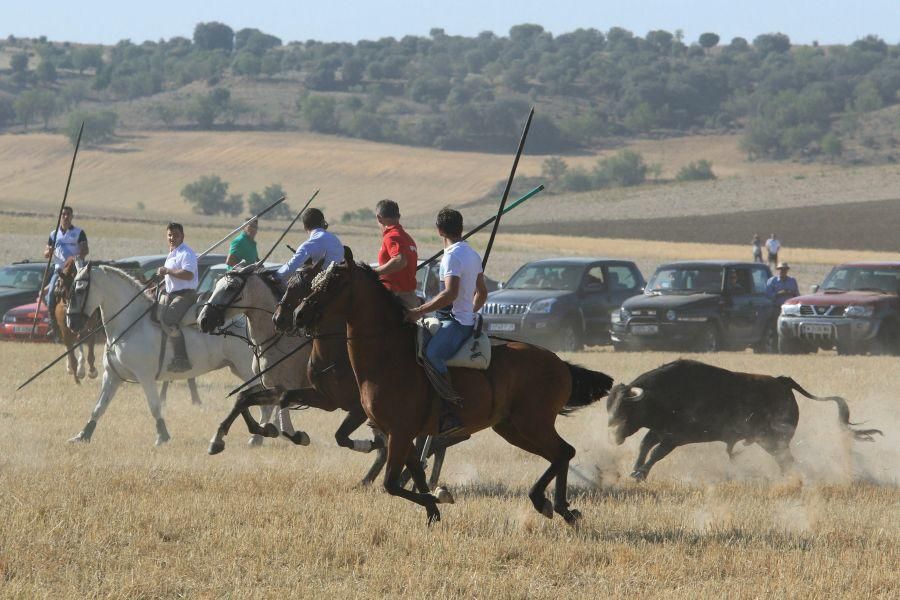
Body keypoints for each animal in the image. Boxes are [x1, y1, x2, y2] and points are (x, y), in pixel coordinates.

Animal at [64, 262, 270, 446]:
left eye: (80, 290)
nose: (71, 323)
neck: (130, 324)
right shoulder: (112, 376)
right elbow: (98, 407)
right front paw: (82, 436)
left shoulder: (145, 376)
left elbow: (155, 406)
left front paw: (162, 436)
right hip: (237, 368)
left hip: (246, 369)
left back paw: (258, 437)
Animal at [288, 258, 612, 524]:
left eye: (333, 283)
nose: (298, 314)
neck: (389, 355)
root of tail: (559, 363)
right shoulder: (402, 434)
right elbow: (415, 475)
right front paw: (433, 513)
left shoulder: (400, 432)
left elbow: (392, 484)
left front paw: (440, 495)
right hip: (512, 428)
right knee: (560, 454)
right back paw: (558, 507)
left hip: (532, 423)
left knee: (563, 452)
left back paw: (549, 503)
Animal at [604, 358, 880, 480]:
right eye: (609, 406)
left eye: (625, 408)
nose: (613, 433)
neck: (664, 393)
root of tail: (782, 382)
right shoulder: (660, 431)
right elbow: (645, 445)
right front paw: (635, 470)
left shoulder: (675, 437)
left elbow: (656, 452)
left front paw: (641, 473)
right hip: (768, 441)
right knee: (786, 461)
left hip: (774, 440)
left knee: (787, 460)